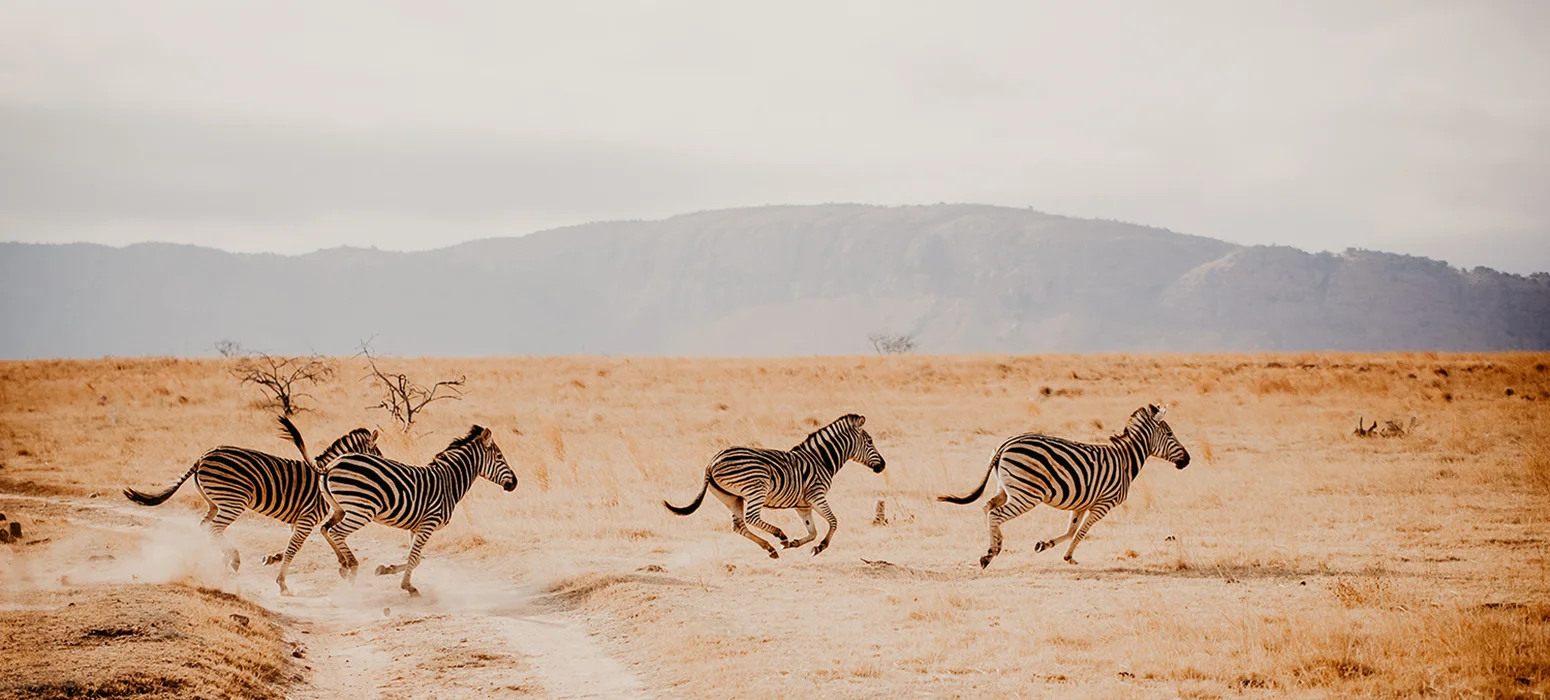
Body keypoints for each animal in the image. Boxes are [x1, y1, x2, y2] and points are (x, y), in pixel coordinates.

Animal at [122, 417, 381, 594]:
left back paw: (212, 559)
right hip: (233, 501)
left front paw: (273, 559)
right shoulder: (307, 517)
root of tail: (204, 456)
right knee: (214, 529)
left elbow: (292, 545)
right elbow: (295, 547)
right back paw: (232, 559)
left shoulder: (299, 519)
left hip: (214, 503)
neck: (324, 472)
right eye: (377, 454)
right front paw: (282, 584)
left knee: (204, 528)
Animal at [317, 425, 517, 596]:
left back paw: (343, 565)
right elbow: (414, 557)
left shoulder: (415, 526)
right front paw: (409, 587)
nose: (515, 483)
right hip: (361, 511)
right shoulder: (429, 523)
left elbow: (417, 557)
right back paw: (352, 566)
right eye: (499, 456)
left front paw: (385, 569)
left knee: (325, 528)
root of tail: (329, 466)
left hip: (340, 509)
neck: (449, 483)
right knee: (336, 532)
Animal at [663, 413, 886, 558]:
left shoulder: (802, 505)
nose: (883, 466)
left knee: (739, 526)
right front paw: (820, 547)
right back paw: (780, 535)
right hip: (757, 486)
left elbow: (812, 531)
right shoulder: (816, 495)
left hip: (731, 497)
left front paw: (796, 543)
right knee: (751, 518)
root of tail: (712, 462)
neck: (821, 461)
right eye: (870, 441)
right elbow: (834, 521)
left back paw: (770, 548)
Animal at [938, 404, 1190, 569]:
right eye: (1169, 433)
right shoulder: (1103, 504)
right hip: (1027, 494)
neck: (1126, 461)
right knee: (996, 514)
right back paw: (990, 554)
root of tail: (1005, 444)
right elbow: (1082, 532)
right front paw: (1068, 557)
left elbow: (1071, 531)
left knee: (987, 508)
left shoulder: (1082, 502)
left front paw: (1044, 544)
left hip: (1005, 488)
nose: (1187, 460)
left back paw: (996, 544)